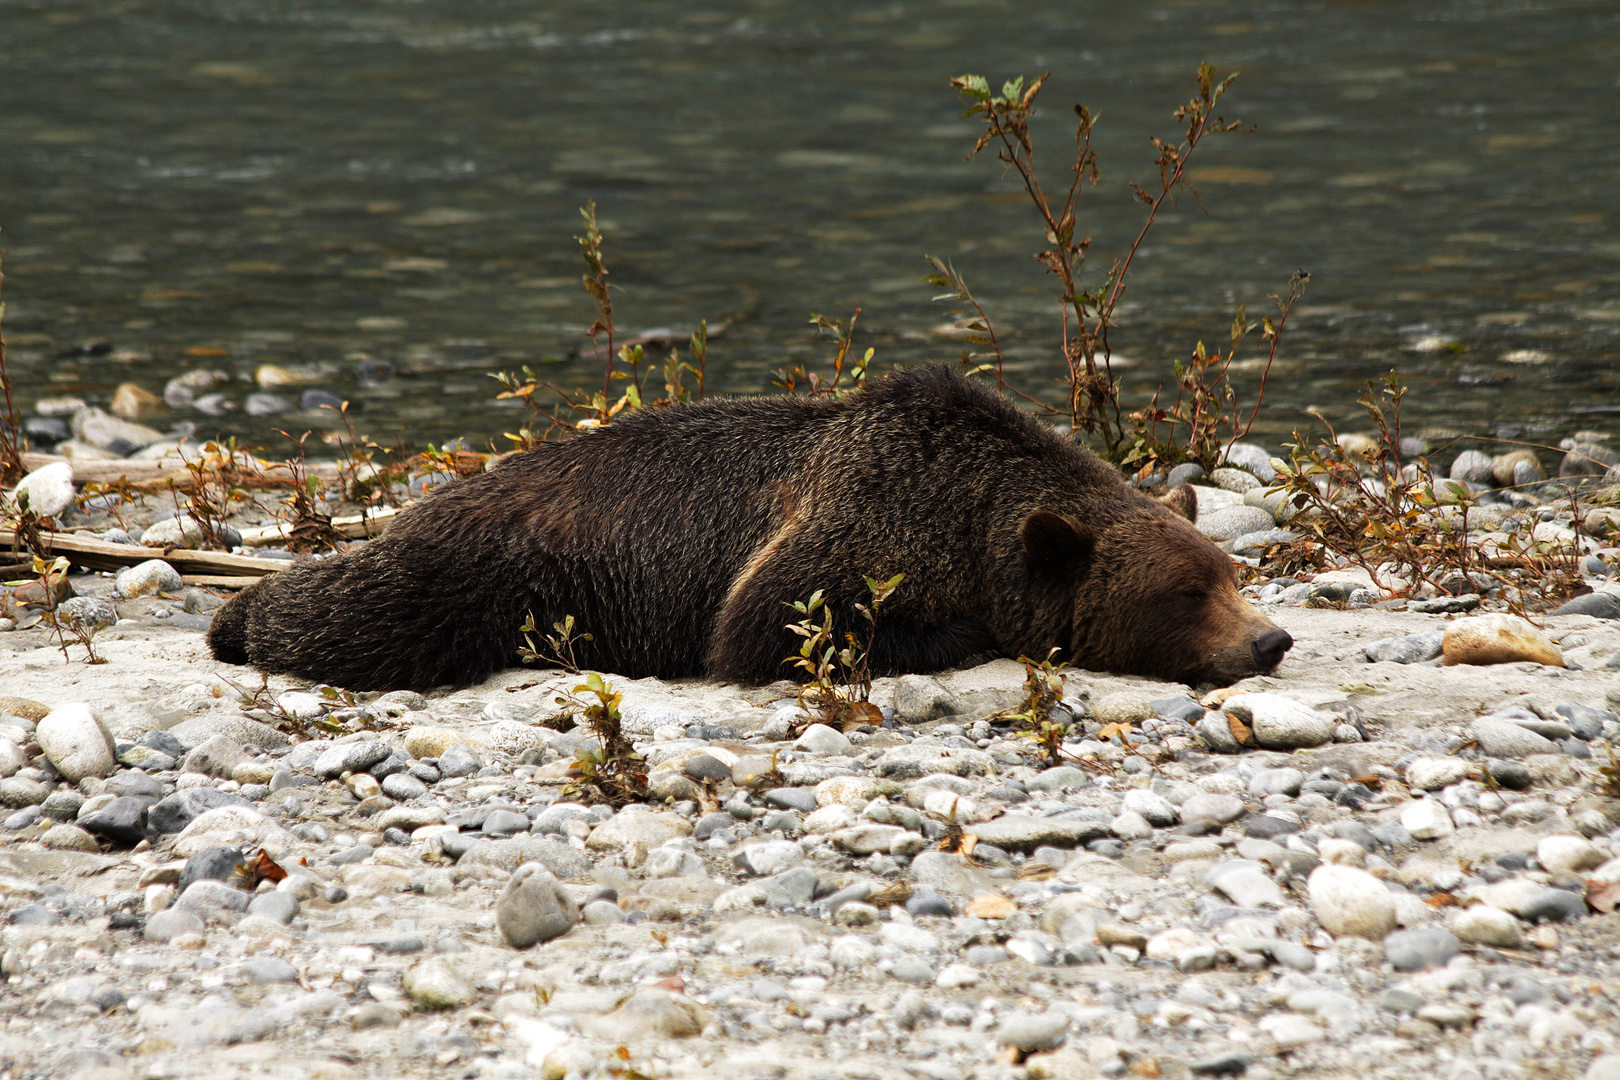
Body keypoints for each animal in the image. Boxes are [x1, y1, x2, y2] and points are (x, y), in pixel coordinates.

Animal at [208, 365, 1289, 693]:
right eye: (1187, 591)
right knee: (363, 616)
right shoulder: (854, 524)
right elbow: (772, 623)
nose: (1270, 640)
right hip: (485, 568)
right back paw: (240, 615)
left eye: (1231, 574)